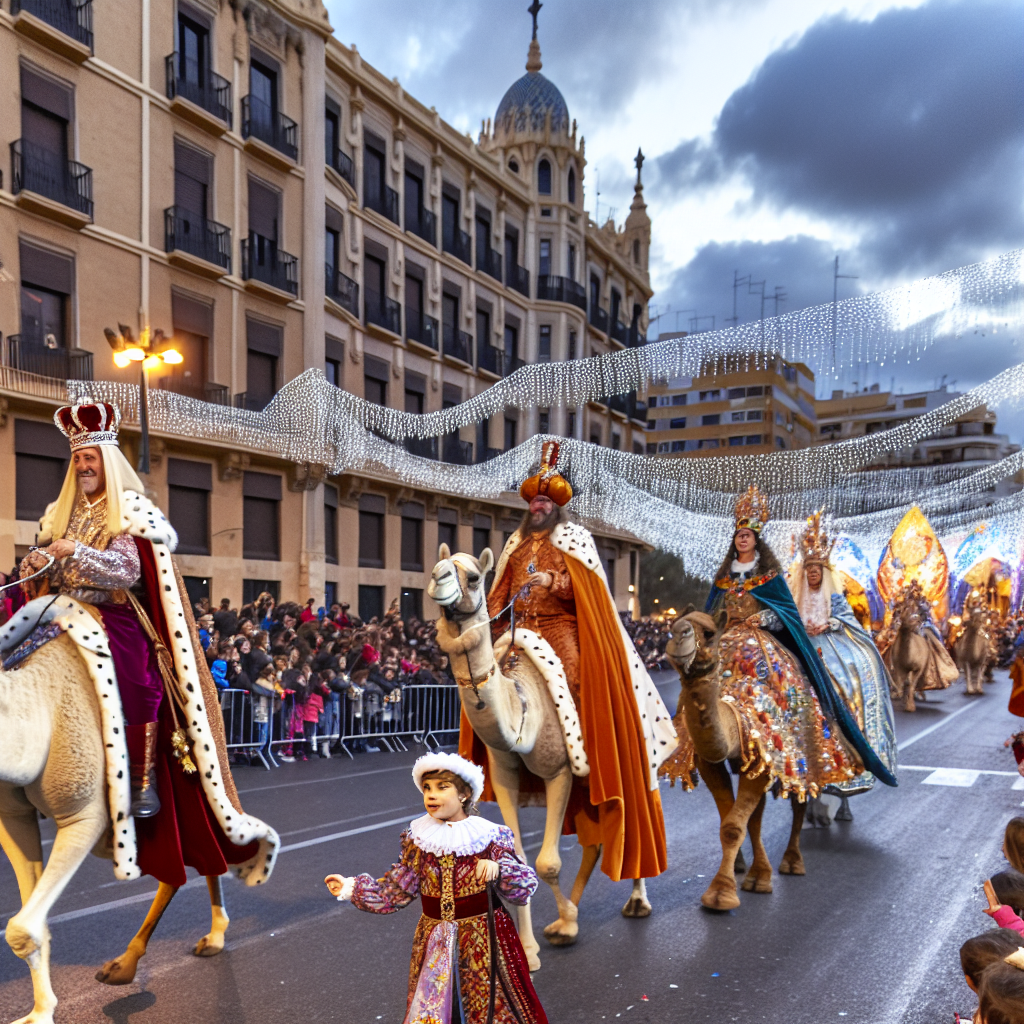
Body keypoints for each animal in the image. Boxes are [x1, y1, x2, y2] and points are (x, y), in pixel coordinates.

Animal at [425, 544, 647, 966]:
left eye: (474, 576)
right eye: (438, 565)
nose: (438, 579)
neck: (523, 704)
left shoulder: (559, 770)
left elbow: (549, 862)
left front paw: (566, 924)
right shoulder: (505, 775)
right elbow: (519, 860)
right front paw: (531, 949)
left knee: (636, 819)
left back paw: (637, 901)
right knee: (595, 841)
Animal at [663, 610, 806, 917]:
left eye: (708, 633)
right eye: (672, 626)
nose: (679, 636)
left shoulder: (765, 753)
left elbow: (733, 827)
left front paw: (721, 895)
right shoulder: (713, 761)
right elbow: (731, 819)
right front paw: (748, 877)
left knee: (801, 799)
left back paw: (792, 862)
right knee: (757, 814)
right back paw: (749, 868)